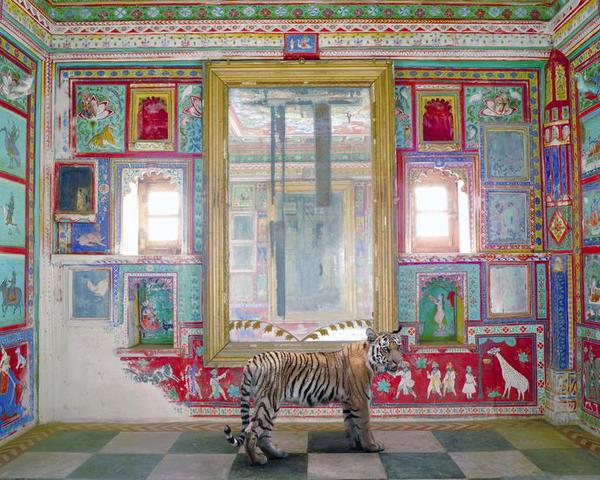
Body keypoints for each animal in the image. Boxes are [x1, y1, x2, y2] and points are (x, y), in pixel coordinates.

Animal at [221, 328, 404, 464]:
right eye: (387, 349)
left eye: (399, 348)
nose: (398, 362)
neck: (370, 360)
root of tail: (253, 359)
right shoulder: (360, 399)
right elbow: (364, 424)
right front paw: (371, 445)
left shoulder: (348, 401)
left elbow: (351, 424)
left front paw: (356, 445)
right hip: (268, 402)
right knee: (252, 431)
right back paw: (258, 461)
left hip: (267, 403)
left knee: (263, 434)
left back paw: (278, 454)